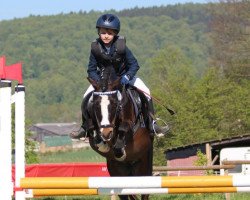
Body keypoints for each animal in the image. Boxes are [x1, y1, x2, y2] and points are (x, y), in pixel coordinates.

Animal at [83, 65, 153, 199]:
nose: (106, 132)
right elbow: (92, 128)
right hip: (116, 170)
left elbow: (123, 128)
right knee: (125, 192)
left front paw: (120, 149)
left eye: (114, 104)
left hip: (144, 161)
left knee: (144, 189)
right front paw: (103, 144)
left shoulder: (128, 122)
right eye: (96, 105)